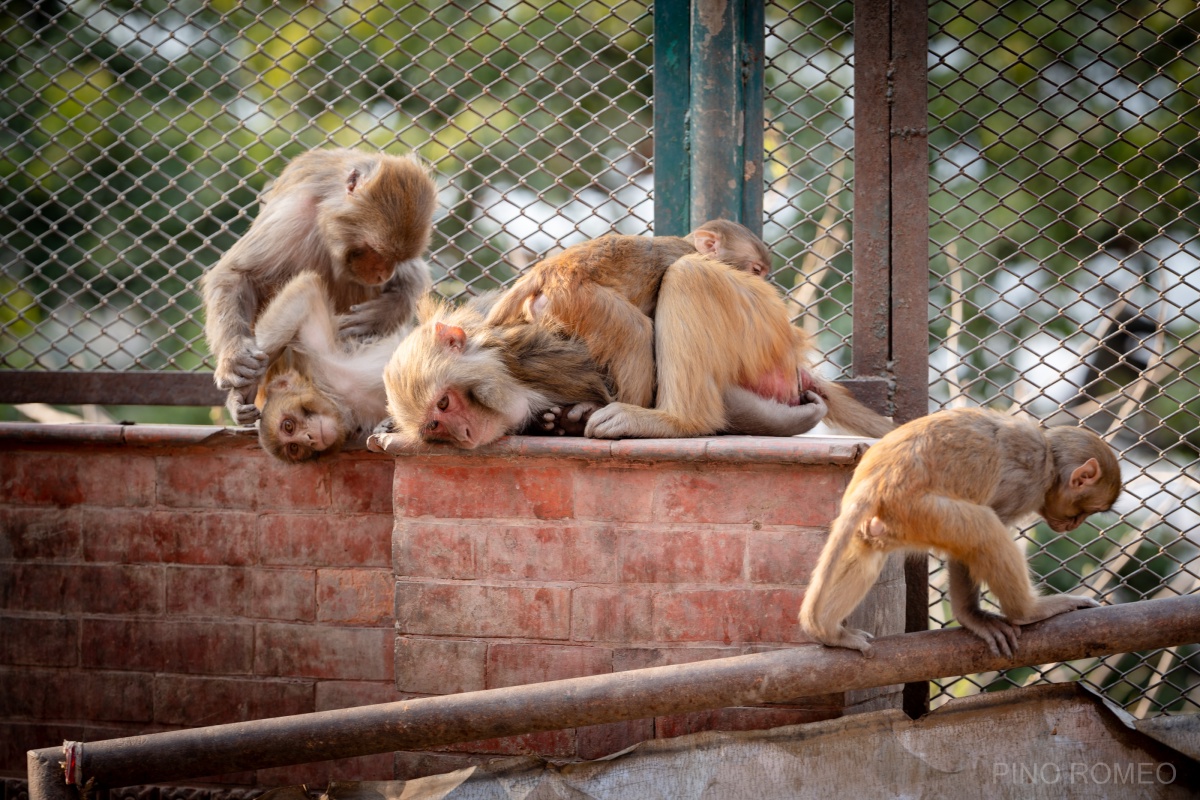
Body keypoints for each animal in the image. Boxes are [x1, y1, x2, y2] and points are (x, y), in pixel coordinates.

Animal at [200, 148, 436, 429]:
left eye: (394, 259)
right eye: (374, 251)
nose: (382, 274)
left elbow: (414, 275)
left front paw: (383, 314)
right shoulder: (293, 212)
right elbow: (238, 274)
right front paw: (234, 357)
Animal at [796, 410, 1123, 662]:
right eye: (1085, 512)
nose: (1073, 525)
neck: (1050, 461)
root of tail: (877, 479)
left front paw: (971, 617)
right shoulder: (1025, 486)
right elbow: (989, 524)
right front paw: (974, 616)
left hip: (895, 517)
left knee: (867, 550)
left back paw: (831, 633)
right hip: (920, 508)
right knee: (985, 528)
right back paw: (1027, 612)